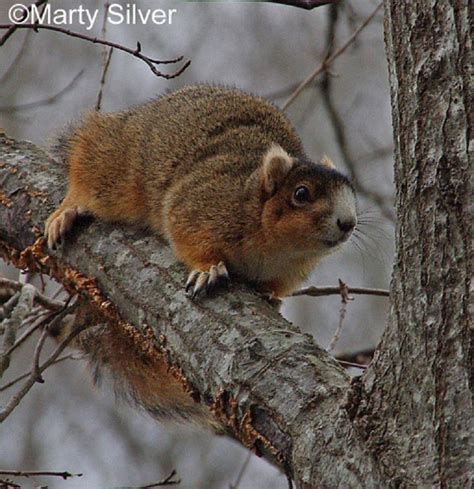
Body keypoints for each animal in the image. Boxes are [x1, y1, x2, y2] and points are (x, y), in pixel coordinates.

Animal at [44, 86, 356, 426]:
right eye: (301, 194)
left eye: (350, 191)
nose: (348, 222)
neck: (277, 246)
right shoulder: (200, 205)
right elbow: (188, 236)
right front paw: (209, 270)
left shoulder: (289, 271)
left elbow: (275, 286)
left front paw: (270, 297)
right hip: (119, 168)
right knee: (89, 166)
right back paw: (67, 210)